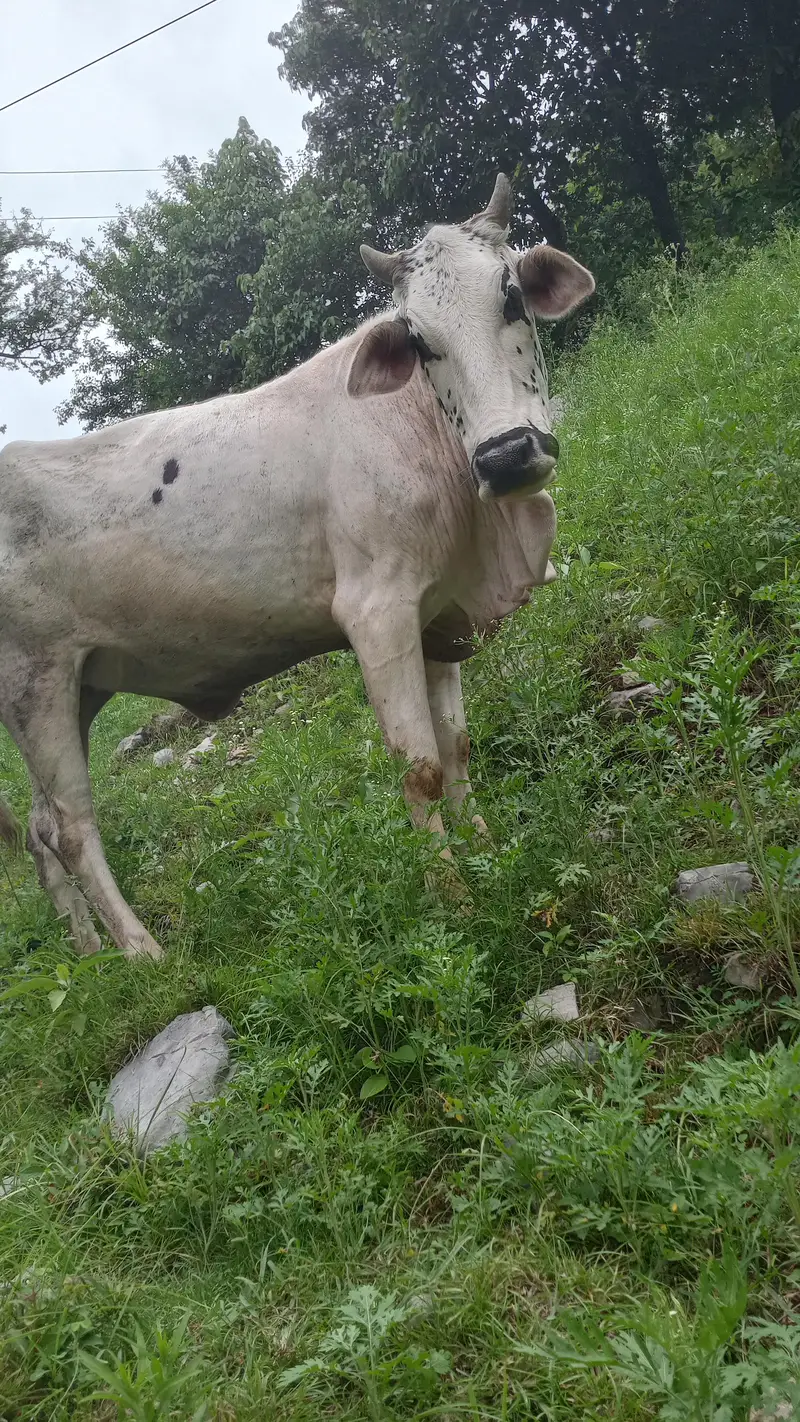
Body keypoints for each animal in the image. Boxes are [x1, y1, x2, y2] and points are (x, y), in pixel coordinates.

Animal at [0, 174, 594, 960]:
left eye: (512, 297)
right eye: (419, 341)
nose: (507, 456)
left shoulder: (439, 615)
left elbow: (457, 747)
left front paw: (485, 847)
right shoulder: (377, 613)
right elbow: (420, 768)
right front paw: (452, 895)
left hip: (78, 685)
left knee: (40, 827)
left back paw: (90, 953)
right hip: (34, 684)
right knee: (71, 828)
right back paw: (142, 954)